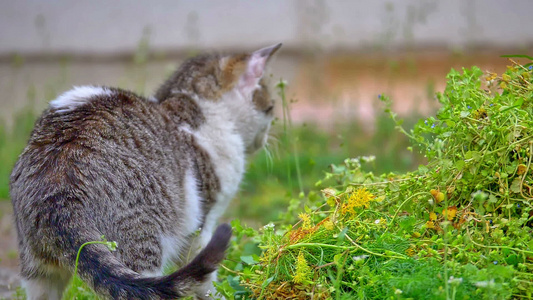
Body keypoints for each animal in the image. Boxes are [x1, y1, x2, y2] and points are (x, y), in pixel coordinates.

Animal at [10, 43, 280, 298]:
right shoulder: (201, 223)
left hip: (37, 270)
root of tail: (55, 191)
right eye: (271, 108)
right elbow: (205, 281)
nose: (266, 138)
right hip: (143, 247)